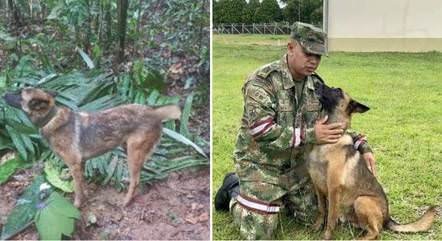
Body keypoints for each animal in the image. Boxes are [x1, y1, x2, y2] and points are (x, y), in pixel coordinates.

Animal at [3, 87, 180, 208]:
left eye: (19, 94)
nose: (3, 94)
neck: (51, 118)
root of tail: (154, 112)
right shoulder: (81, 163)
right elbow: (82, 184)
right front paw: (84, 193)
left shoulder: (74, 164)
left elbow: (77, 188)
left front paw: (77, 205)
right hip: (128, 149)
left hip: (133, 153)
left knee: (135, 180)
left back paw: (126, 201)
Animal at [306, 83, 436, 239]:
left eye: (337, 91)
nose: (316, 83)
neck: (327, 143)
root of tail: (388, 217)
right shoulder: (318, 187)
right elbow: (322, 209)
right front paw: (316, 227)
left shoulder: (333, 189)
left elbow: (331, 217)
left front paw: (326, 236)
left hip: (361, 200)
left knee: (376, 232)